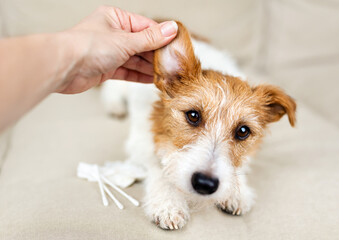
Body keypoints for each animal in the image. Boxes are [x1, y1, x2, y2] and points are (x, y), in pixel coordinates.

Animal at [99, 21, 296, 230]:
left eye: (243, 131)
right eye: (193, 116)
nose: (205, 183)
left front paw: (237, 192)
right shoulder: (140, 142)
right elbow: (159, 169)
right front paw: (168, 203)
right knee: (110, 90)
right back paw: (115, 106)